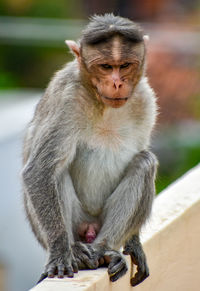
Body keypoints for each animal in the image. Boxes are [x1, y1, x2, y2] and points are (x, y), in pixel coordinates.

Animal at [21, 14, 158, 288]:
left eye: (125, 65)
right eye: (105, 67)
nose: (116, 83)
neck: (102, 103)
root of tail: (90, 230)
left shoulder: (145, 99)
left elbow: (142, 151)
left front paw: (135, 243)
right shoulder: (67, 98)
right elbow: (40, 170)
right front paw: (60, 252)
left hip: (100, 223)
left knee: (145, 161)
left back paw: (104, 249)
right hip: (75, 223)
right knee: (56, 171)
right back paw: (74, 250)